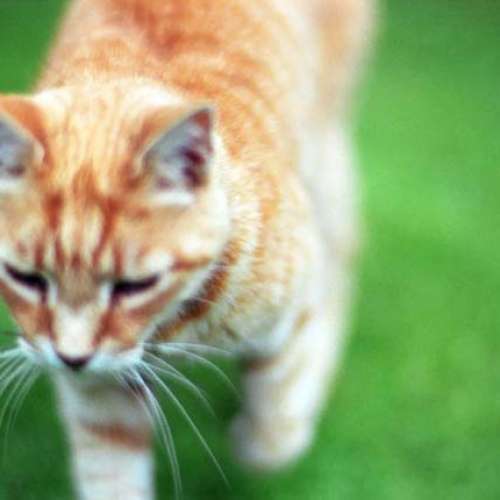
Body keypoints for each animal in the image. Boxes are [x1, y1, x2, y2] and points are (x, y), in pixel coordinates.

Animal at [0, 0, 374, 498]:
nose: (72, 358)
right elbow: (110, 474)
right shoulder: (100, 395)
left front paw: (263, 439)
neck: (178, 320)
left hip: (327, 155)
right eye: (26, 278)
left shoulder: (297, 294)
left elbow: (279, 411)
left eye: (135, 286)